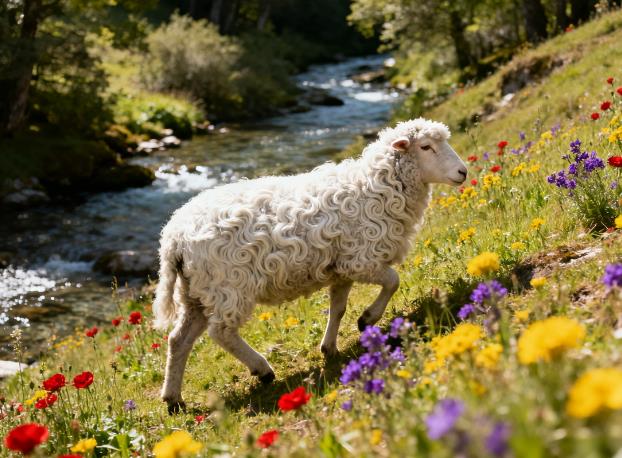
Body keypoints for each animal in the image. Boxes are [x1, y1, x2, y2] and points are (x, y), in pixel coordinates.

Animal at [153, 117, 468, 412]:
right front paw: (367, 319)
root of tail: (173, 236)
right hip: (228, 285)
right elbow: (393, 281)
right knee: (221, 333)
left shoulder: (342, 269)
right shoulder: (361, 260)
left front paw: (329, 347)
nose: (463, 172)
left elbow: (337, 308)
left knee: (178, 339)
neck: (376, 188)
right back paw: (262, 370)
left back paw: (173, 398)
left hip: (195, 291)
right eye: (425, 147)